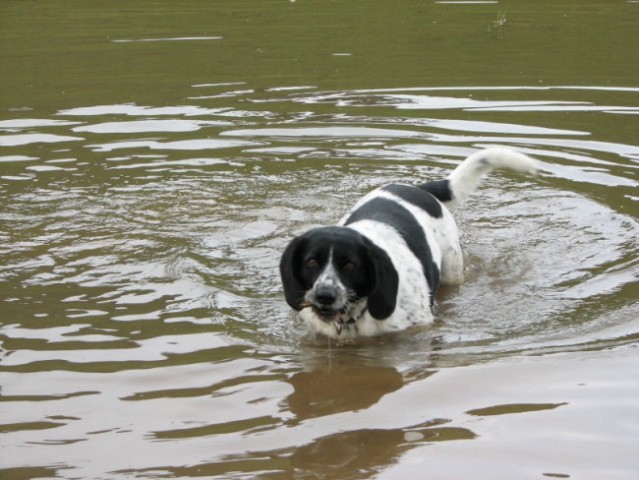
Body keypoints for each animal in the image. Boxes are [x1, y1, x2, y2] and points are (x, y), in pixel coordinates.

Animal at [280, 148, 540, 340]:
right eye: (312, 262)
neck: (355, 316)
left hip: (452, 272)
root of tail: (418, 188)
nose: (325, 295)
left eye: (351, 265)